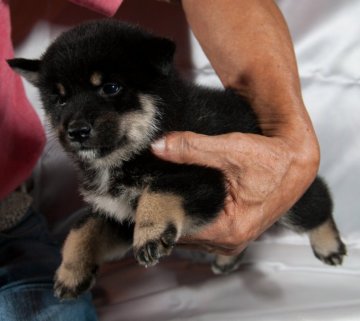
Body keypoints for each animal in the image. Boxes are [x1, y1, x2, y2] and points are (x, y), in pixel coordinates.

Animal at [7, 18, 346, 298]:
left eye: (111, 87)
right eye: (59, 99)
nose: (76, 131)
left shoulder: (206, 179)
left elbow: (161, 188)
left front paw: (151, 233)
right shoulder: (116, 214)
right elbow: (81, 230)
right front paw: (71, 271)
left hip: (289, 197)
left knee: (318, 203)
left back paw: (329, 245)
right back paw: (227, 258)